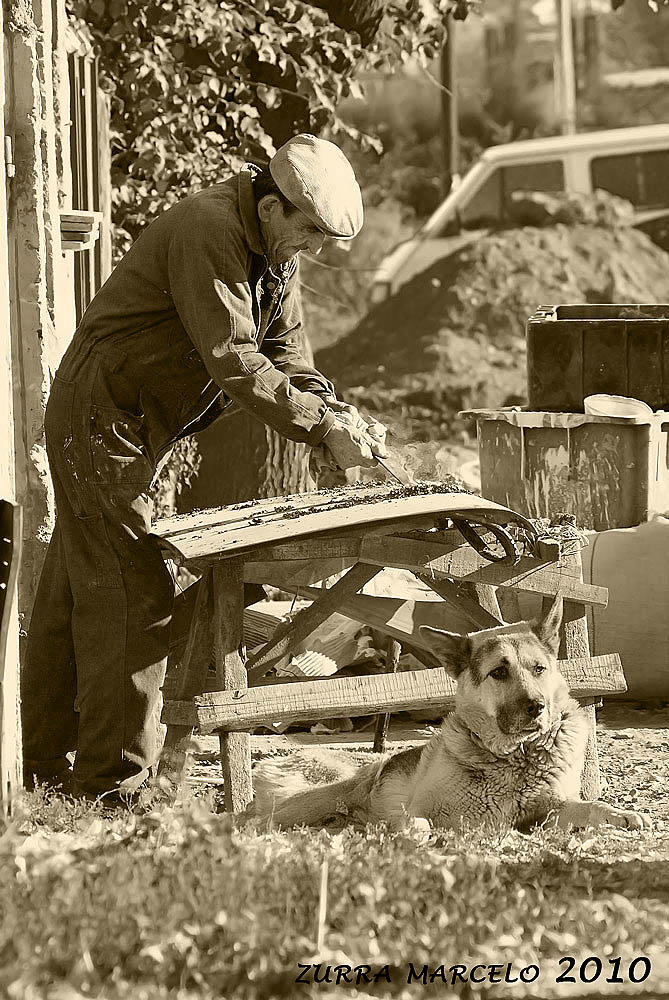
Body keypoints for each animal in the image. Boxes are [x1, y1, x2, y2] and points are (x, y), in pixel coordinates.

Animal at [248, 592, 648, 836]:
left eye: (539, 669)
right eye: (498, 673)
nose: (537, 708)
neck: (515, 758)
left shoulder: (550, 808)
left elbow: (589, 805)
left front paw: (619, 814)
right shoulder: (424, 810)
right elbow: (419, 822)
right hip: (325, 795)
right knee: (254, 819)